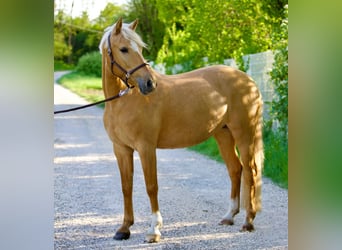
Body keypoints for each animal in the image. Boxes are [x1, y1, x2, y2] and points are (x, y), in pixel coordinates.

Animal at [99, 18, 264, 244]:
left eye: (139, 48)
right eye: (123, 49)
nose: (150, 83)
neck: (124, 101)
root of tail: (248, 80)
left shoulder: (146, 147)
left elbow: (152, 186)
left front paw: (154, 230)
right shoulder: (121, 149)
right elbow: (126, 187)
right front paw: (124, 229)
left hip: (244, 134)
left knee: (250, 171)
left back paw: (248, 221)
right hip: (223, 134)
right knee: (235, 169)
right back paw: (229, 216)